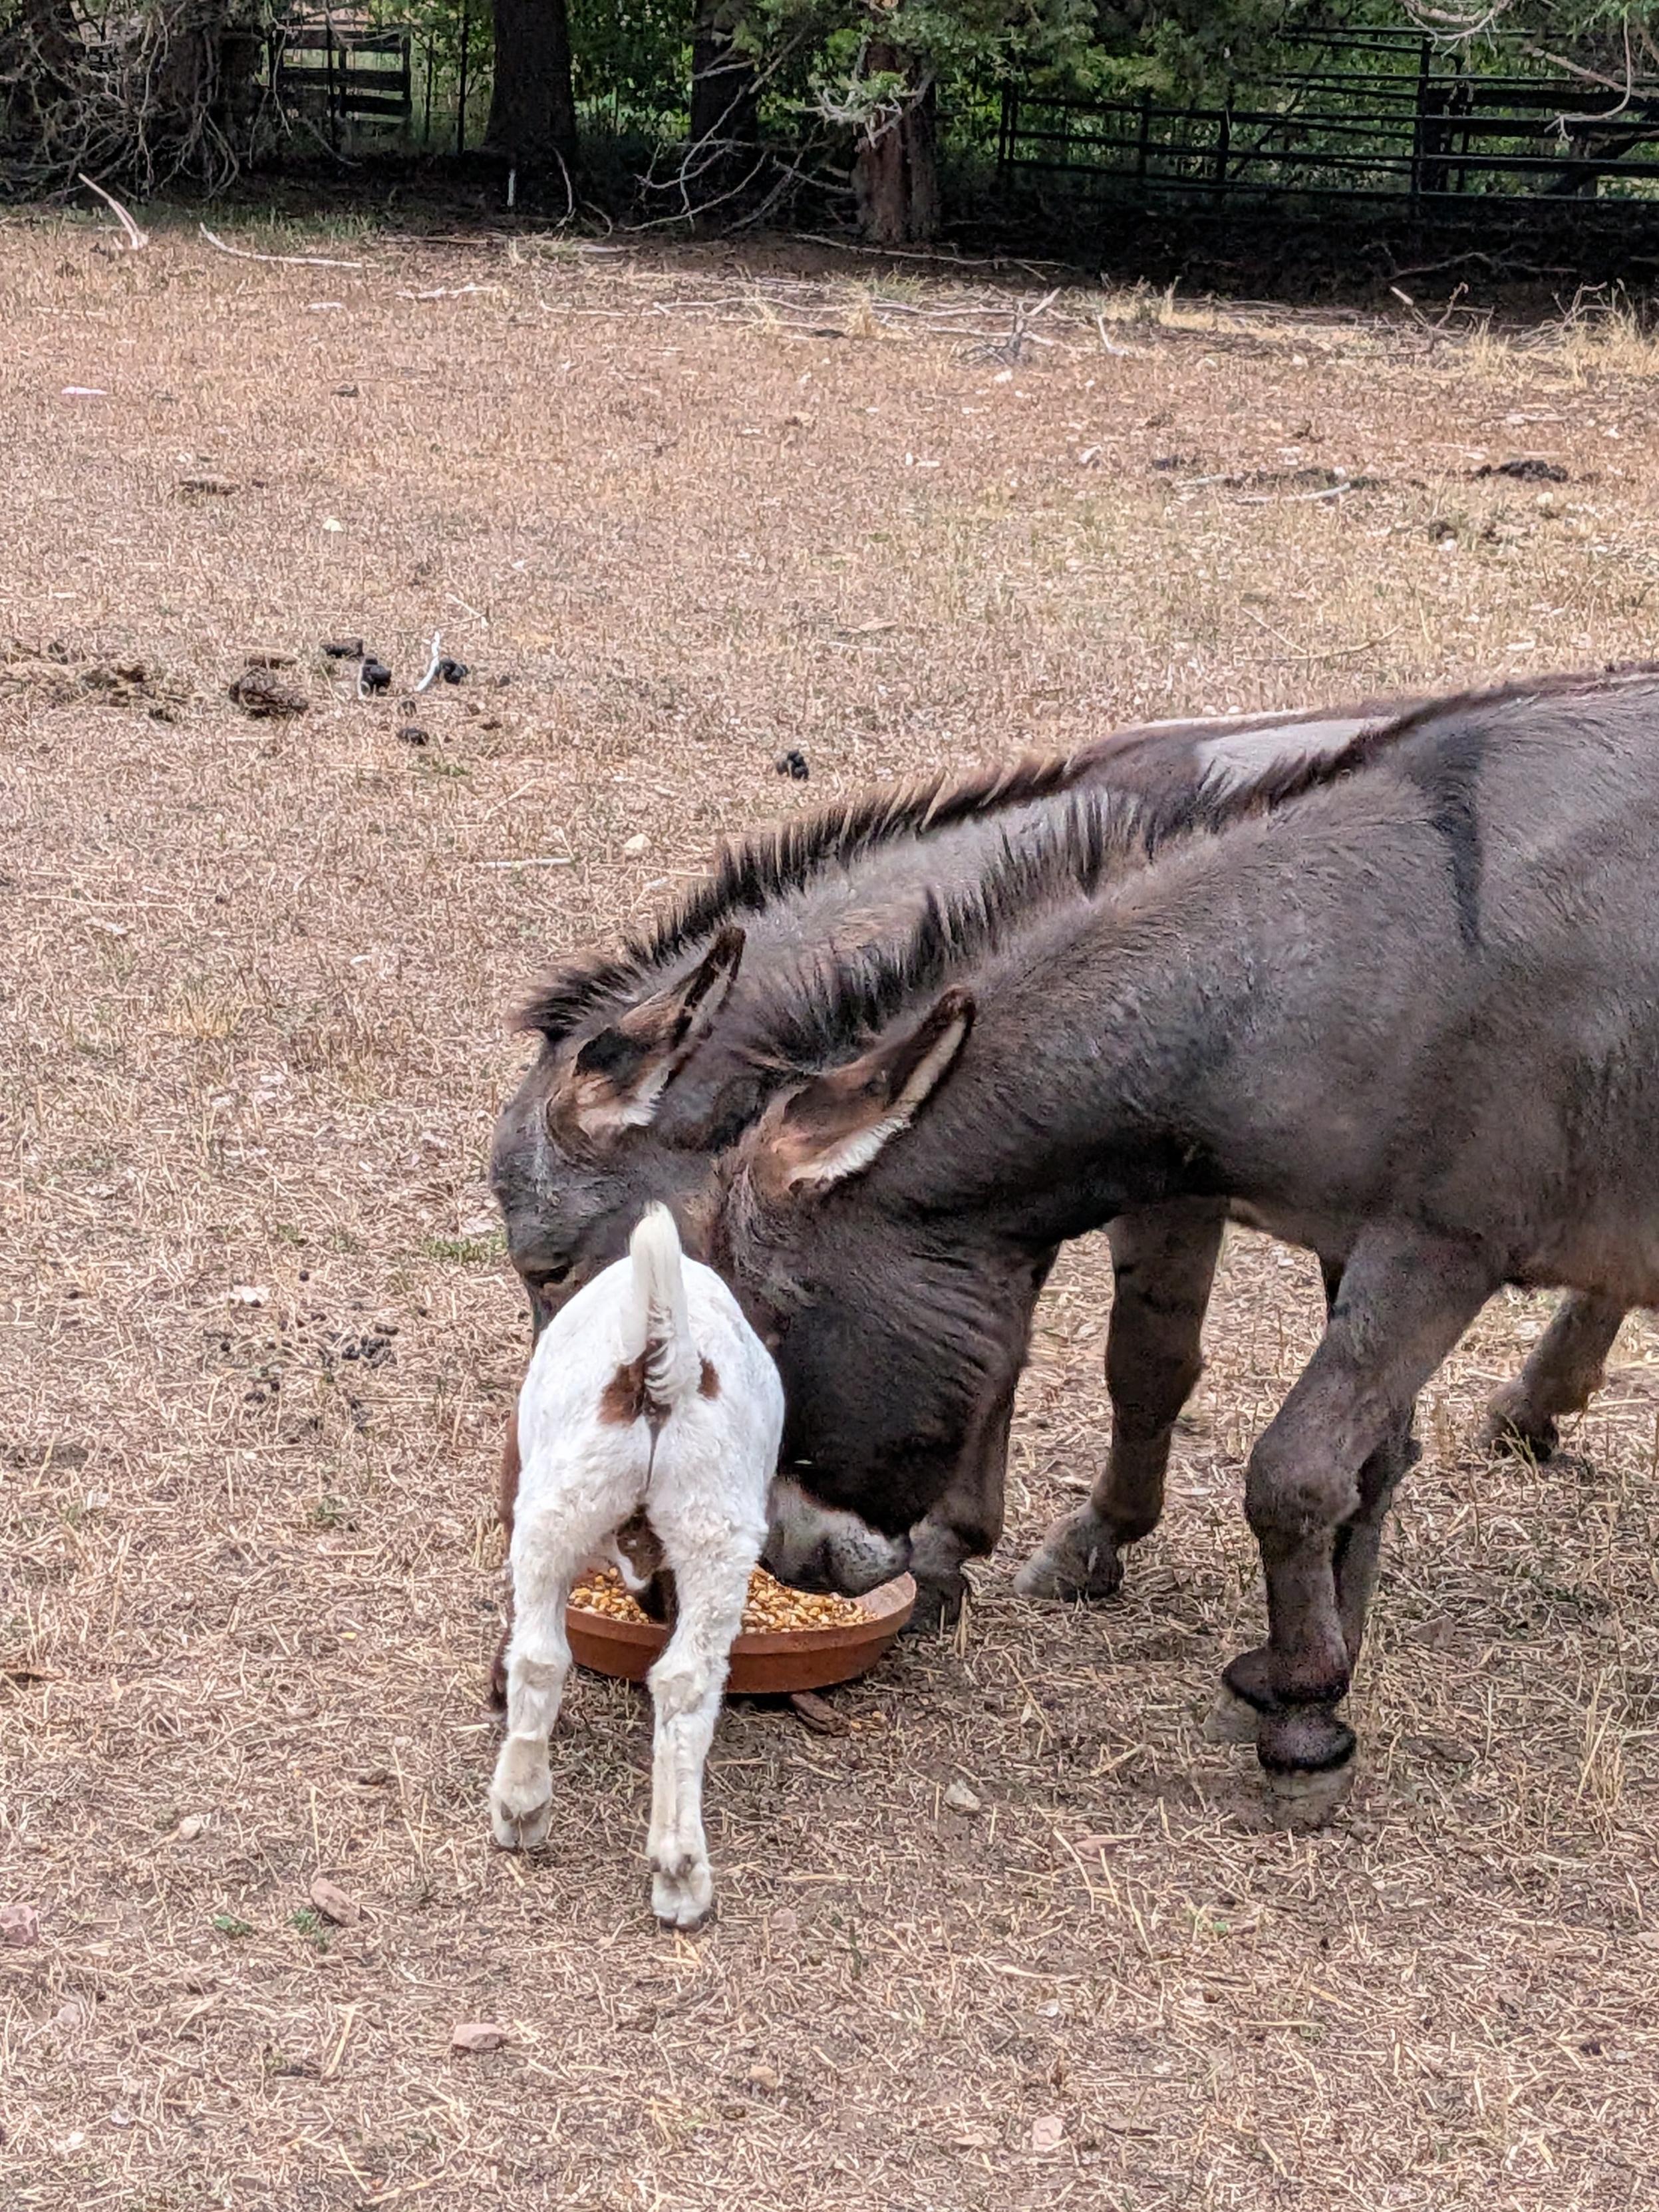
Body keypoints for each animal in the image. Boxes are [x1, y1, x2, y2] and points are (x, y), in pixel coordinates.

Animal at [489, 1204, 783, 1929]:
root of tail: (660, 1367)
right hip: (704, 1532)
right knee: (676, 1682)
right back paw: (671, 1867)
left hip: (555, 1510)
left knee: (546, 1657)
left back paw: (528, 1808)